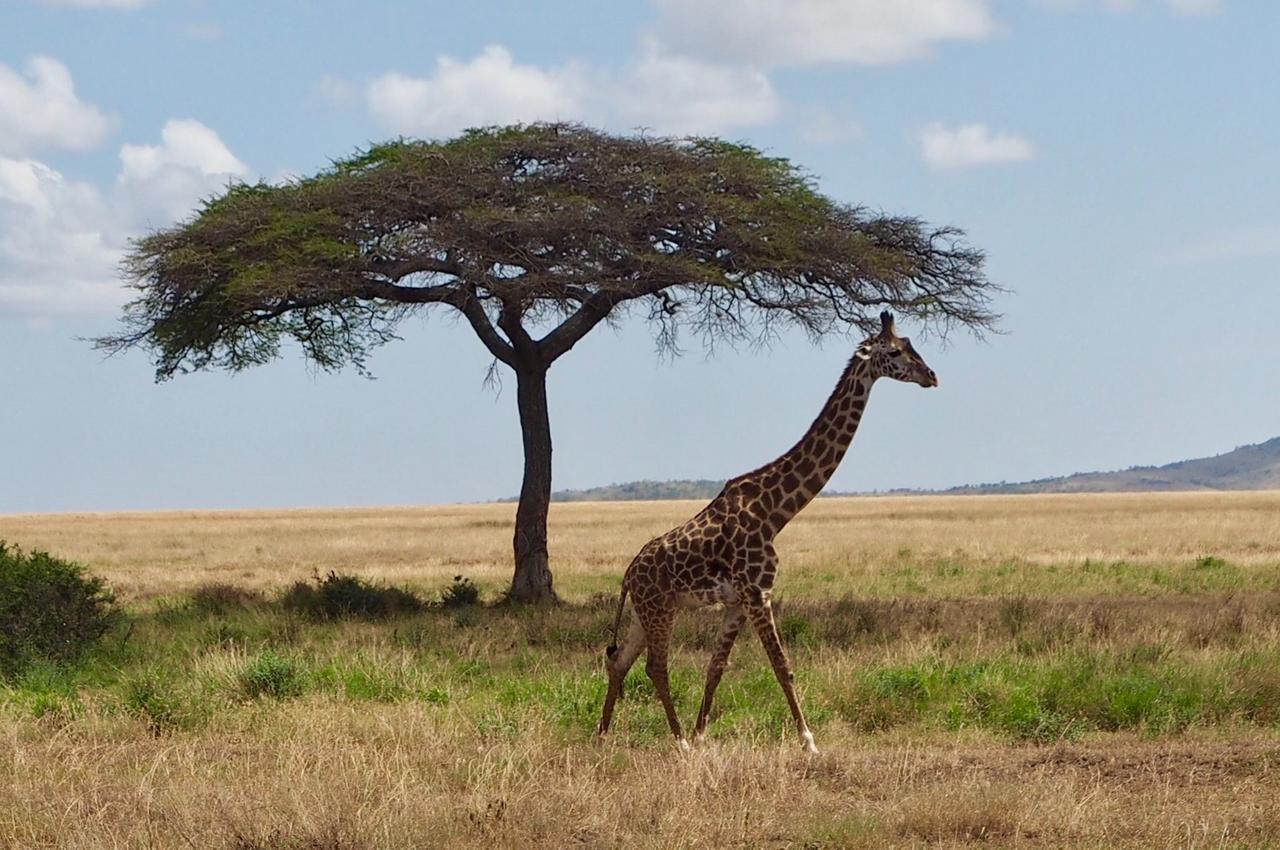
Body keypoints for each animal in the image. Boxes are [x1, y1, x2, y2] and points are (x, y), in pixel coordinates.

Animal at [591, 312, 942, 752]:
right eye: (895, 352)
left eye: (911, 344)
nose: (932, 375)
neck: (776, 512)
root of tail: (627, 575)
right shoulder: (759, 594)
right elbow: (782, 665)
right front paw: (808, 740)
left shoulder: (739, 601)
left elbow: (716, 667)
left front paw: (702, 733)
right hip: (659, 609)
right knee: (655, 665)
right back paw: (677, 742)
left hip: (644, 611)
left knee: (619, 660)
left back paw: (603, 734)